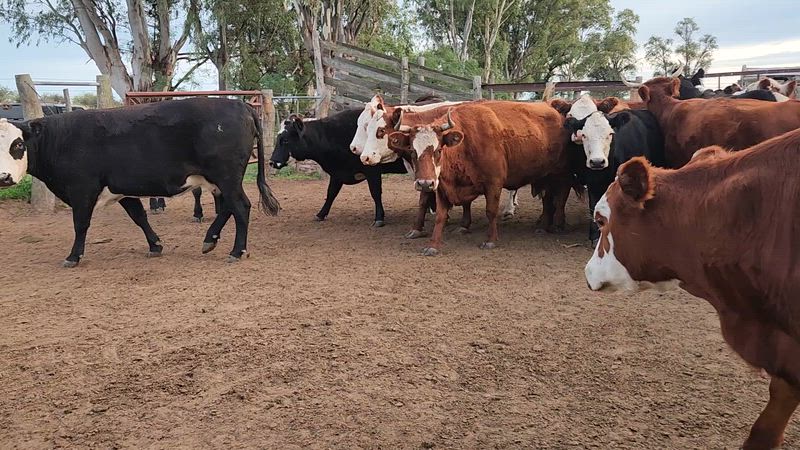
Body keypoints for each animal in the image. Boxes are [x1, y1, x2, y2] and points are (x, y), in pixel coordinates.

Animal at [0, 98, 280, 267]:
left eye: (18, 144)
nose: (3, 177)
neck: (61, 139)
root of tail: (240, 104)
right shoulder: (122, 190)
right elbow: (139, 217)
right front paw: (155, 245)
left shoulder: (82, 190)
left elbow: (80, 225)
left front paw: (73, 256)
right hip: (219, 180)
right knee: (228, 208)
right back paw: (209, 239)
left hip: (227, 177)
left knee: (240, 207)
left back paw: (236, 251)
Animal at [269, 109, 407, 226]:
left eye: (285, 140)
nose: (272, 162)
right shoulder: (337, 173)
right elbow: (331, 193)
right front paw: (321, 214)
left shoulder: (372, 170)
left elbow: (375, 193)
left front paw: (379, 218)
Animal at [386, 101, 573, 256]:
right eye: (412, 151)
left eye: (439, 150)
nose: (424, 183)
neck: (466, 144)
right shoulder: (442, 186)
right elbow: (440, 216)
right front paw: (433, 245)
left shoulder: (494, 183)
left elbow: (490, 211)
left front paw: (490, 240)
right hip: (545, 177)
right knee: (548, 199)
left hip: (559, 173)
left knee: (559, 197)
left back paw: (554, 224)